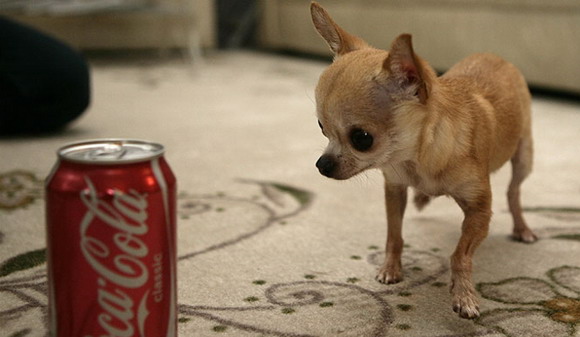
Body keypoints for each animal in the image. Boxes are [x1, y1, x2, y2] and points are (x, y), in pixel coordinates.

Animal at [310, 1, 536, 318]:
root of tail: (497, 56)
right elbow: (394, 234)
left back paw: (522, 228)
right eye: (321, 127)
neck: (416, 160)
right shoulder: (394, 188)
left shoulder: (479, 212)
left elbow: (460, 255)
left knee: (514, 192)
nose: (322, 164)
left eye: (362, 138)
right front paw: (390, 268)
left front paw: (464, 295)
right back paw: (422, 197)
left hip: (524, 157)